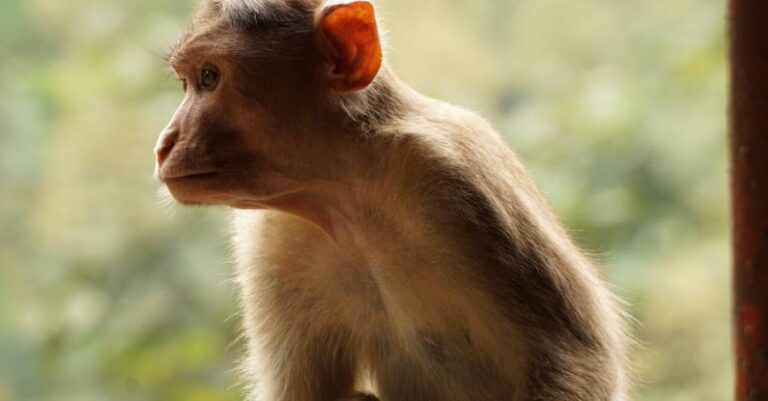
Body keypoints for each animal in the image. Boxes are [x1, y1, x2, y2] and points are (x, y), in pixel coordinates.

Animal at [154, 0, 629, 400]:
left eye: (209, 78)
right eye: (186, 82)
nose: (164, 143)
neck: (346, 194)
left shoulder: (456, 171)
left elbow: (575, 359)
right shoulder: (271, 234)